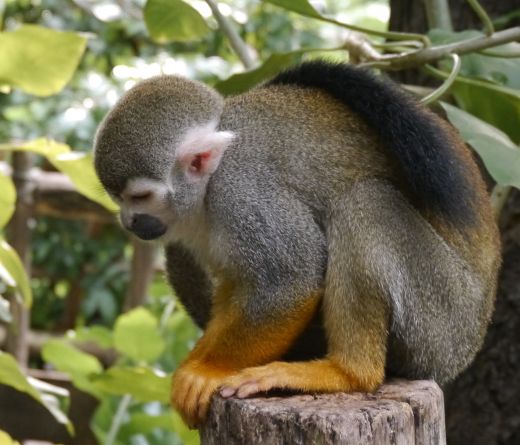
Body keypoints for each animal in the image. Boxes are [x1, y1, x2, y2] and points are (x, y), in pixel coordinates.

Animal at [93, 60, 500, 424]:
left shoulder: (243, 191)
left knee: (366, 202)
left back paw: (348, 373)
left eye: (140, 197)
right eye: (119, 199)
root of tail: (470, 342)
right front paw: (200, 360)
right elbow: (240, 284)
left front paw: (206, 371)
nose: (129, 221)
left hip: (442, 318)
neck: (208, 184)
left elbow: (292, 279)